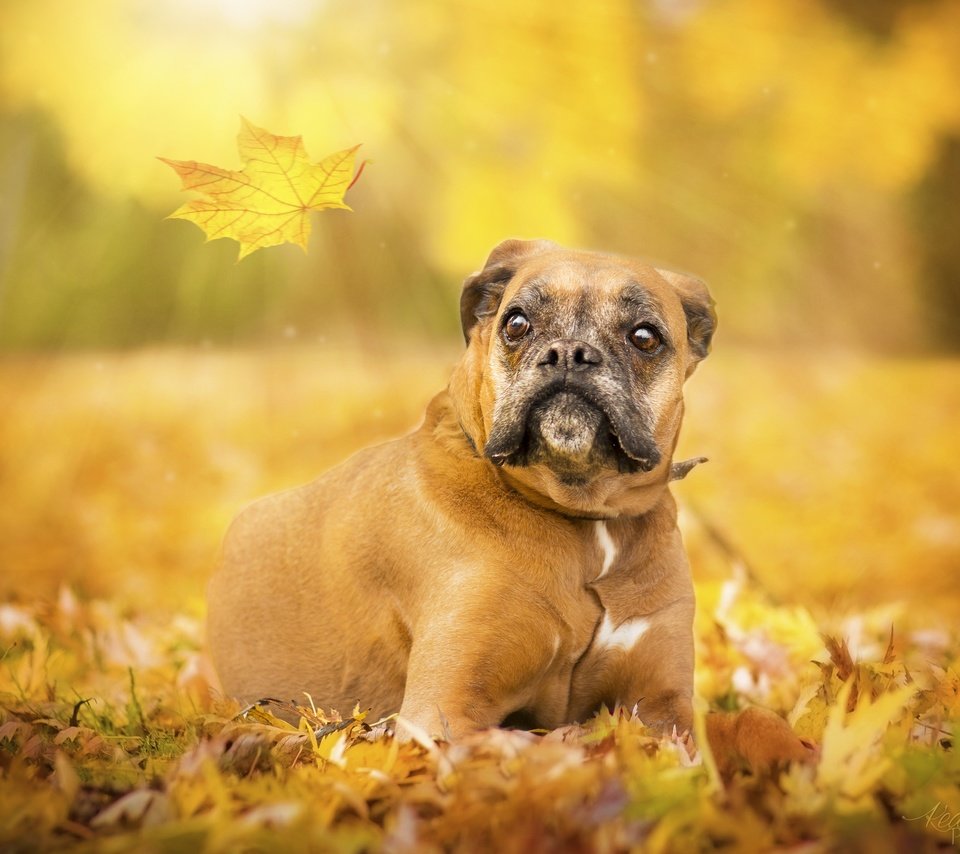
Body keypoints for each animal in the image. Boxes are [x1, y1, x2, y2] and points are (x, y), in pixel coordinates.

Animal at [206, 237, 800, 760]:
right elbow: (554, 743)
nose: (571, 353)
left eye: (645, 336)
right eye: (516, 323)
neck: (583, 521)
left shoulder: (664, 705)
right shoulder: (444, 713)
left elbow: (749, 721)